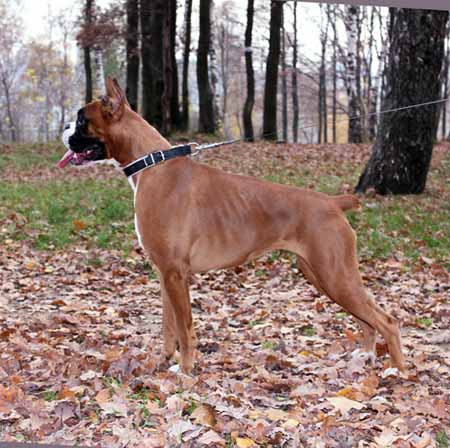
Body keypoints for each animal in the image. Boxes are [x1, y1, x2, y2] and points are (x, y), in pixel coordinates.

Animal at [58, 77, 406, 374]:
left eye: (81, 119)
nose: (63, 127)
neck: (152, 163)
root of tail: (333, 202)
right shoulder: (164, 273)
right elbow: (168, 325)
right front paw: (165, 361)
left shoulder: (175, 273)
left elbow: (184, 327)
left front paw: (185, 371)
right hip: (322, 275)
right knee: (367, 319)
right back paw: (365, 355)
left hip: (335, 275)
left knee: (386, 320)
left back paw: (397, 371)